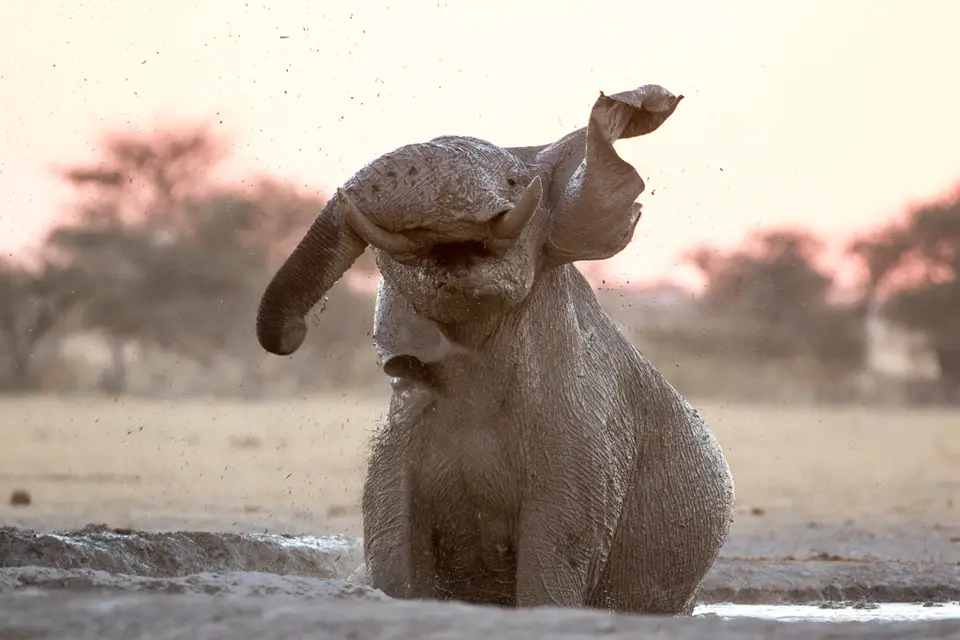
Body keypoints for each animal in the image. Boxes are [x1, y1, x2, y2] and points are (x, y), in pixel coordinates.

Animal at [255, 83, 735, 615]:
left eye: (514, 182)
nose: (291, 335)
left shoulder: (587, 445)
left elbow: (551, 567)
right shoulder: (394, 450)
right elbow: (397, 563)